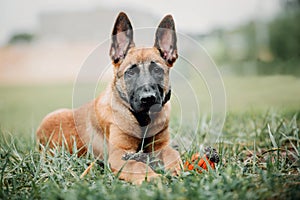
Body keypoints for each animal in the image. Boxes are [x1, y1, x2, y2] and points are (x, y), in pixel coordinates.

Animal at [37, 11, 183, 184]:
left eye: (157, 71)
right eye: (130, 73)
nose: (148, 99)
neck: (143, 120)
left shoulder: (161, 146)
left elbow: (173, 153)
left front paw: (176, 170)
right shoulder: (118, 155)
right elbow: (137, 165)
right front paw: (153, 178)